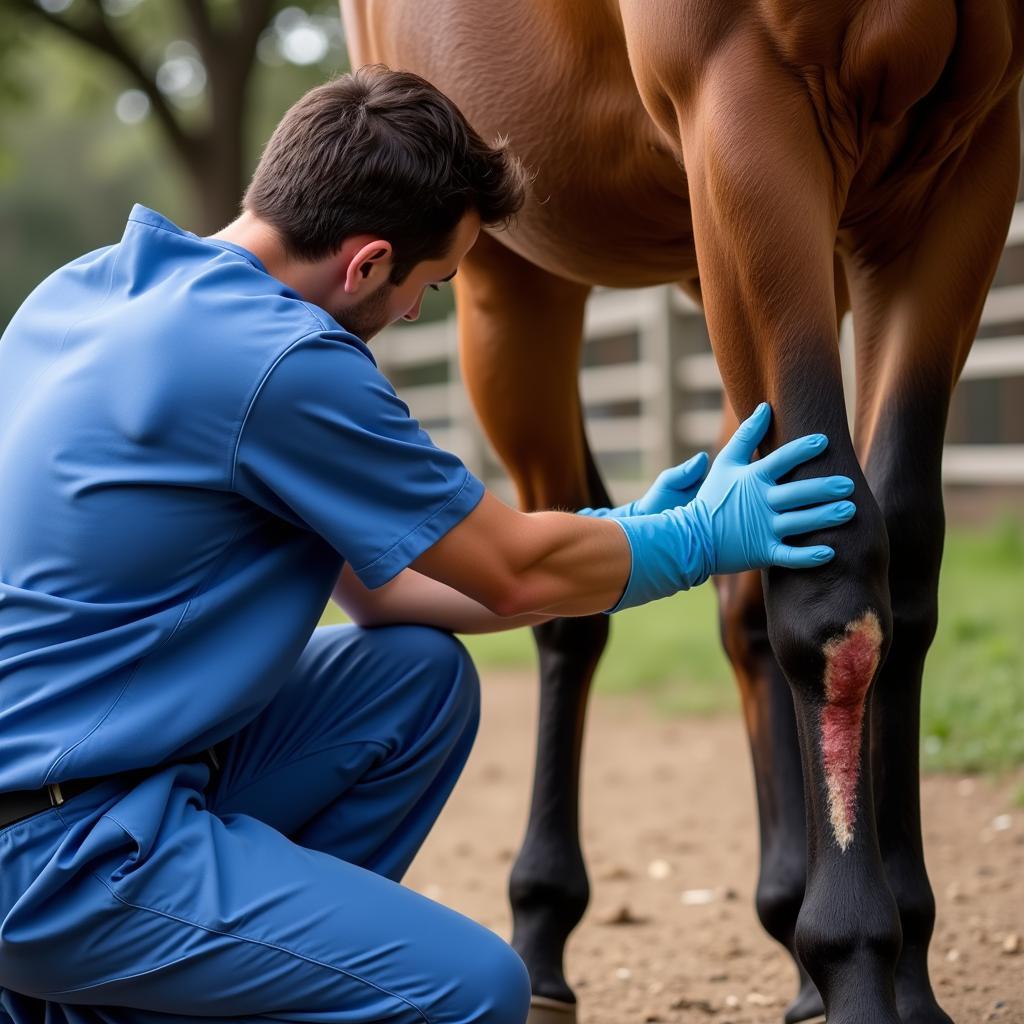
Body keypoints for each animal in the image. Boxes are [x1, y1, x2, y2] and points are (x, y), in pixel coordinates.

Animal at [337, 4, 1024, 1019]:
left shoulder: (967, 161)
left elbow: (901, 567)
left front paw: (905, 975)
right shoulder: (742, 109)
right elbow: (835, 588)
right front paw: (861, 963)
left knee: (742, 599)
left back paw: (787, 931)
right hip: (513, 278)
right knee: (569, 605)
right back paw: (543, 933)